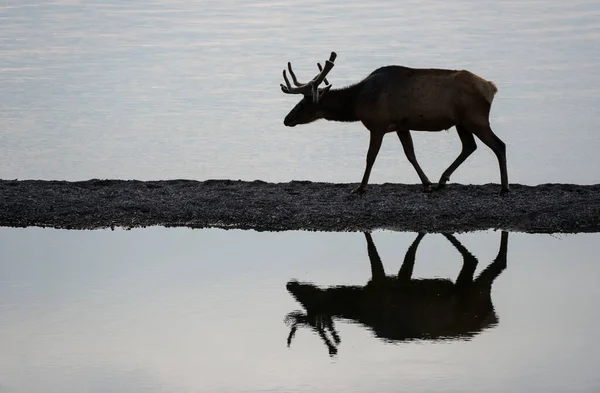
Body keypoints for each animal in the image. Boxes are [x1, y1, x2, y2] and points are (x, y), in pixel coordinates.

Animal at [282, 50, 510, 194]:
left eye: (303, 103)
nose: (286, 119)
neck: (357, 103)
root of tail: (491, 88)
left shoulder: (377, 124)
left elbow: (370, 156)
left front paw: (360, 188)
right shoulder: (402, 126)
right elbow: (410, 154)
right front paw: (426, 183)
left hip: (475, 118)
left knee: (499, 145)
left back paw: (504, 188)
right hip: (461, 122)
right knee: (469, 146)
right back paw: (441, 180)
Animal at [284, 230, 506, 356]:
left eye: (309, 303)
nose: (289, 285)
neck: (359, 303)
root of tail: (492, 318)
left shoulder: (382, 284)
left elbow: (384, 252)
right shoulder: (397, 281)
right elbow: (408, 258)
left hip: (473, 293)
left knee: (487, 263)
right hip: (467, 288)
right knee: (475, 261)